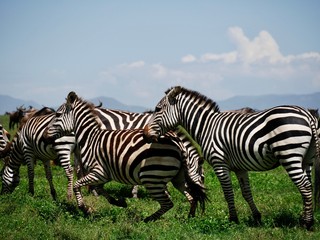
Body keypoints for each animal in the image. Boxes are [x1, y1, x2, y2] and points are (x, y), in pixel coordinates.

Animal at [43, 91, 206, 221]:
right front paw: (119, 201)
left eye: (57, 115)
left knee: (173, 201)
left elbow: (84, 185)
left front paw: (86, 208)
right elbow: (97, 188)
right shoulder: (104, 173)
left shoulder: (101, 172)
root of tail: (178, 146)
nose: (45, 136)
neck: (91, 137)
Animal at [144, 85, 320, 230]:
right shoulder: (240, 168)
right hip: (307, 159)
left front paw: (233, 220)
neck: (207, 126)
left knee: (304, 186)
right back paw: (305, 218)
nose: (145, 134)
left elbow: (228, 193)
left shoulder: (219, 163)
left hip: (289, 154)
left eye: (158, 109)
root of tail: (307, 114)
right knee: (309, 186)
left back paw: (307, 223)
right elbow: (246, 193)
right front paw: (257, 218)